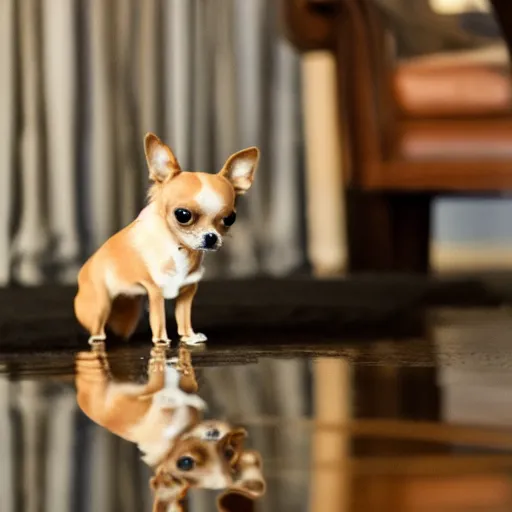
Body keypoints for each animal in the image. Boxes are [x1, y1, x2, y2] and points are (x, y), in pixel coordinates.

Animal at [74, 134, 258, 346]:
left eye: (230, 219)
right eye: (183, 215)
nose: (211, 237)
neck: (179, 249)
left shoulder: (188, 291)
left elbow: (184, 317)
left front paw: (189, 337)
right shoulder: (155, 292)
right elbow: (159, 318)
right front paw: (161, 342)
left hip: (128, 307)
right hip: (101, 303)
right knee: (97, 322)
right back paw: (97, 338)